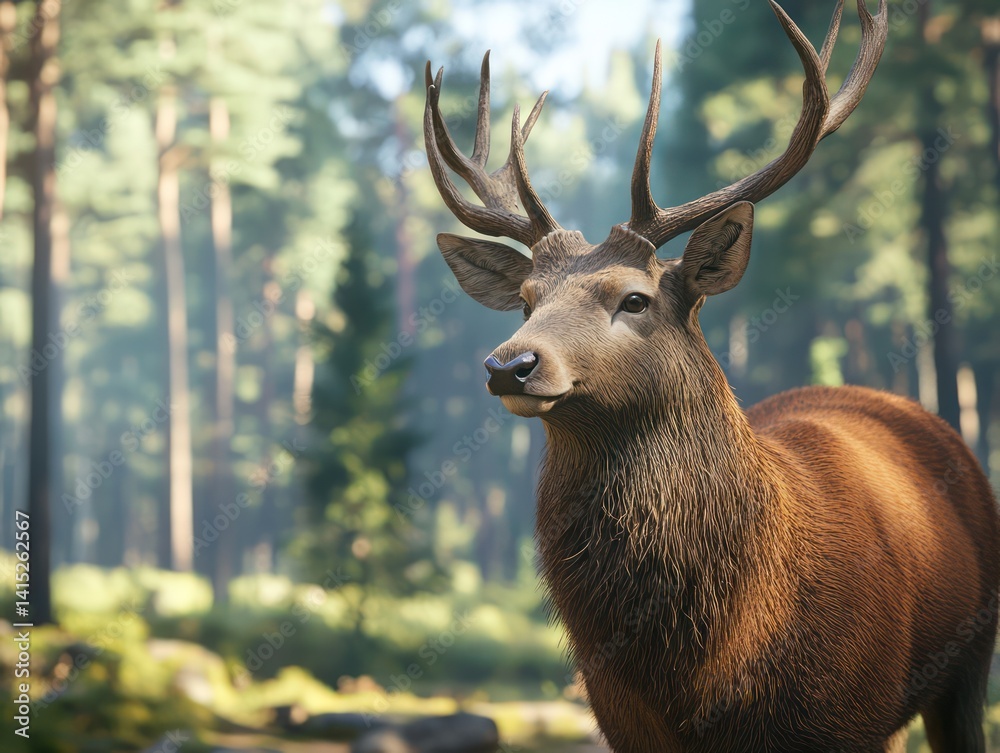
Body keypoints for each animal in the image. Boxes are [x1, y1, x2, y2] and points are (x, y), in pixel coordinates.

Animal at [422, 1, 1000, 751]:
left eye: (635, 299)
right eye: (525, 300)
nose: (509, 364)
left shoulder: (851, 712)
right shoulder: (623, 721)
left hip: (972, 654)